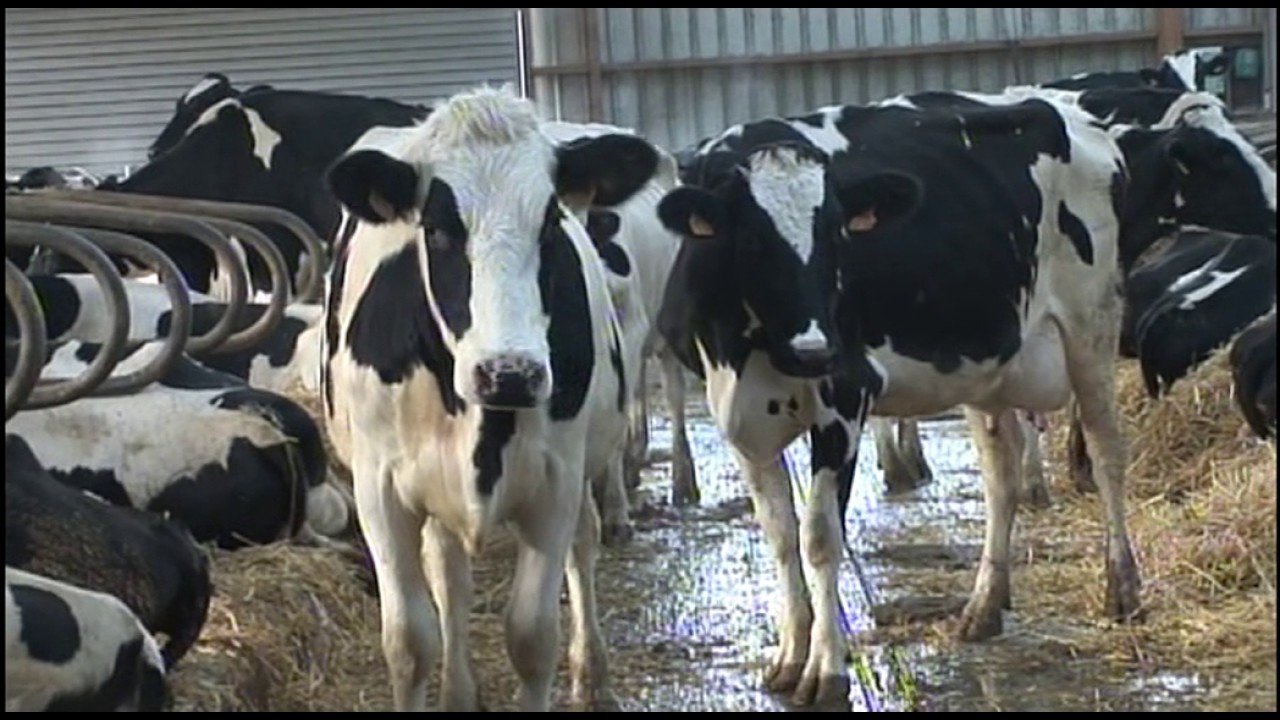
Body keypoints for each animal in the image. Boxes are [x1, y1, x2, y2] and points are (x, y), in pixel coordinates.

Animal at [321, 85, 659, 711]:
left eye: (550, 224)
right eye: (436, 229)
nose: (510, 373)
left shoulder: (554, 482)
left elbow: (531, 635)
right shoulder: (379, 487)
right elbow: (409, 641)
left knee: (582, 545)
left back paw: (592, 676)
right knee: (449, 575)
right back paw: (459, 691)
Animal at [657, 94, 1139, 707]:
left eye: (837, 237)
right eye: (750, 241)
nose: (815, 348)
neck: (750, 350)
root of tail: (1071, 112)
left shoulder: (845, 399)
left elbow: (819, 538)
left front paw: (827, 672)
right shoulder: (739, 422)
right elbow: (780, 535)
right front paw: (789, 655)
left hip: (1091, 325)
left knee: (1107, 452)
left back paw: (1123, 588)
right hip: (987, 362)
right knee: (1000, 474)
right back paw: (984, 606)